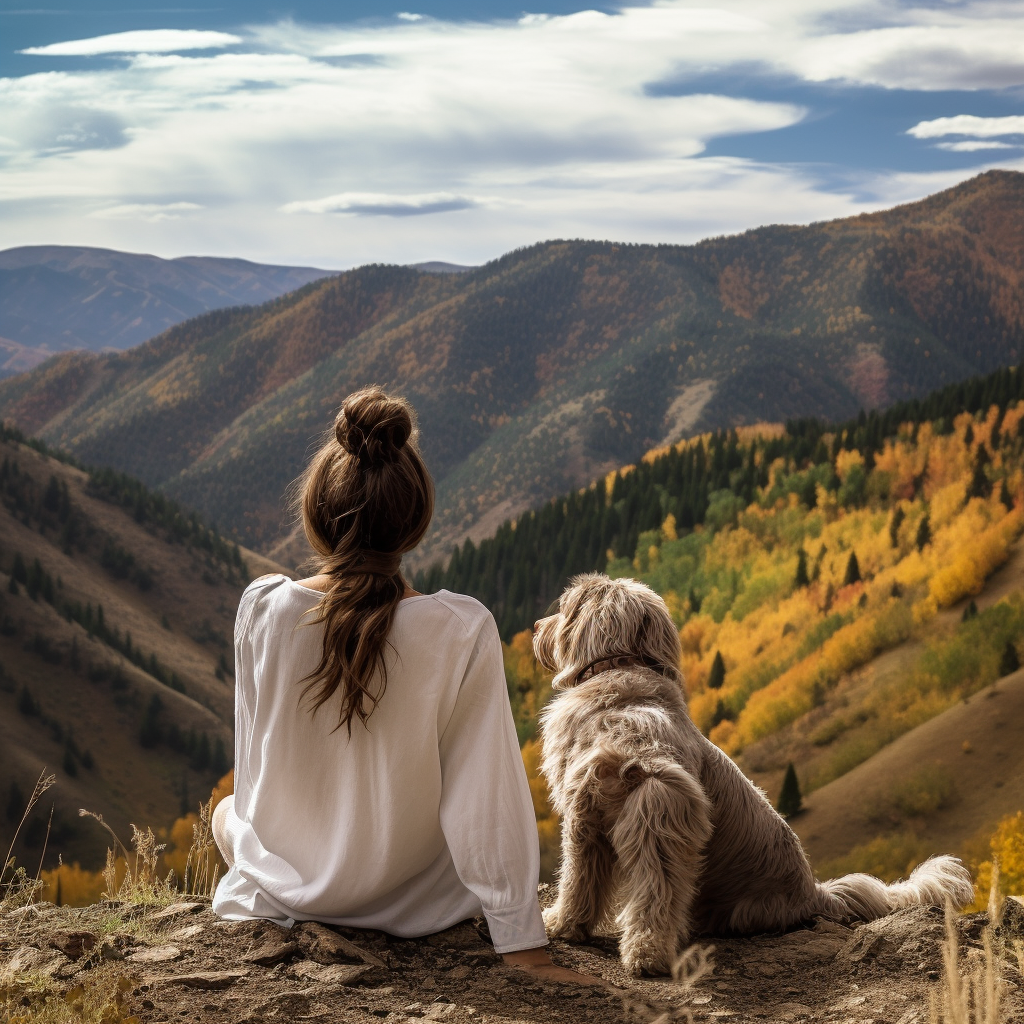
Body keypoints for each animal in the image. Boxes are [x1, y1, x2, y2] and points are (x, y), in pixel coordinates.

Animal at [536, 577, 974, 974]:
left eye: (564, 606)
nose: (539, 625)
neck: (621, 675)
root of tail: (815, 894)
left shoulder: (628, 807)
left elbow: (577, 878)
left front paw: (559, 924)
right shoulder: (599, 813)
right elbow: (584, 881)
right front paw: (570, 925)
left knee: (658, 898)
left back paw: (648, 955)